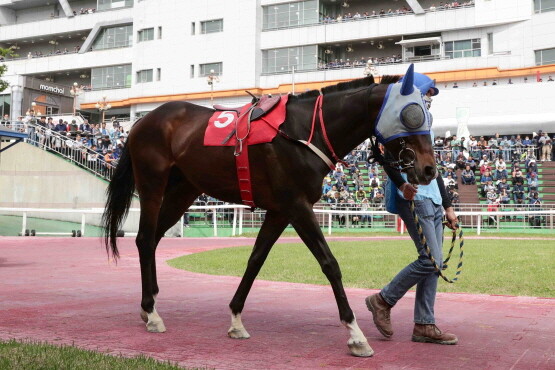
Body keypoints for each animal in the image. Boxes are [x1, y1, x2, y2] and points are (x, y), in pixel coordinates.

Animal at [102, 65, 436, 356]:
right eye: (412, 115)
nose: (429, 169)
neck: (304, 133)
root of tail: (141, 121)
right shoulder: (298, 206)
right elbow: (329, 263)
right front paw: (356, 335)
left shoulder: (279, 211)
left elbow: (255, 259)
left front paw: (236, 319)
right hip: (152, 185)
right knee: (145, 239)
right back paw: (152, 314)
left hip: (184, 190)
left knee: (154, 238)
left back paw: (149, 305)